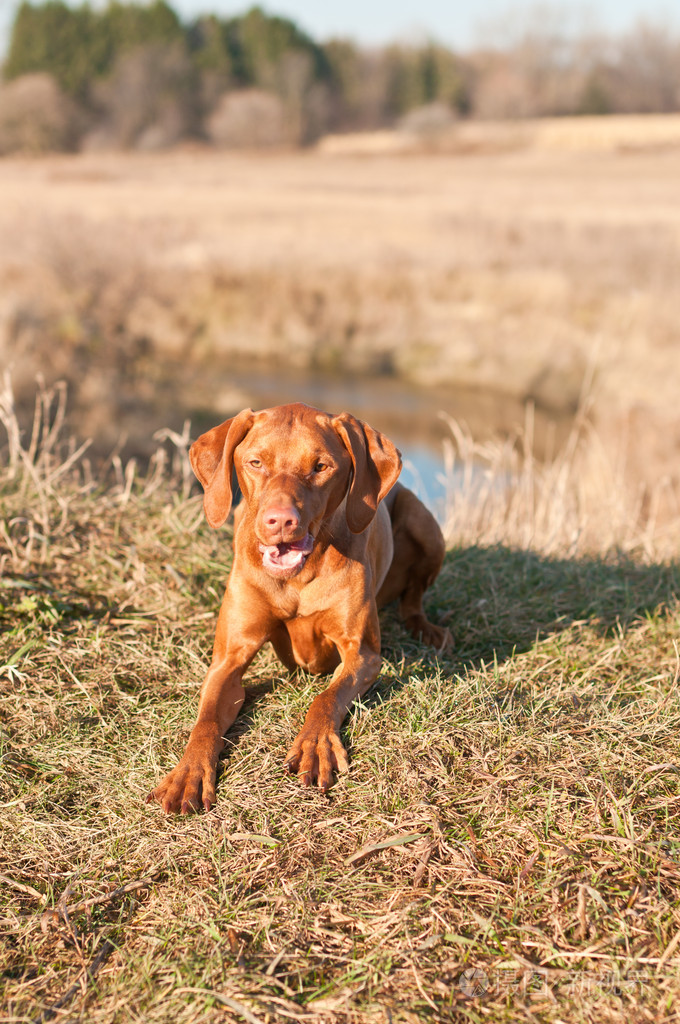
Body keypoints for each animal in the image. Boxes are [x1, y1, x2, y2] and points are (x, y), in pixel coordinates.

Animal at [148, 403, 448, 811]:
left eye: (321, 466)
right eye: (256, 462)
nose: (280, 520)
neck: (296, 578)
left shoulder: (363, 654)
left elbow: (326, 697)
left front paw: (315, 745)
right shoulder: (227, 659)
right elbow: (206, 720)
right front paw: (188, 772)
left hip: (426, 524)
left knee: (413, 598)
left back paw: (427, 628)